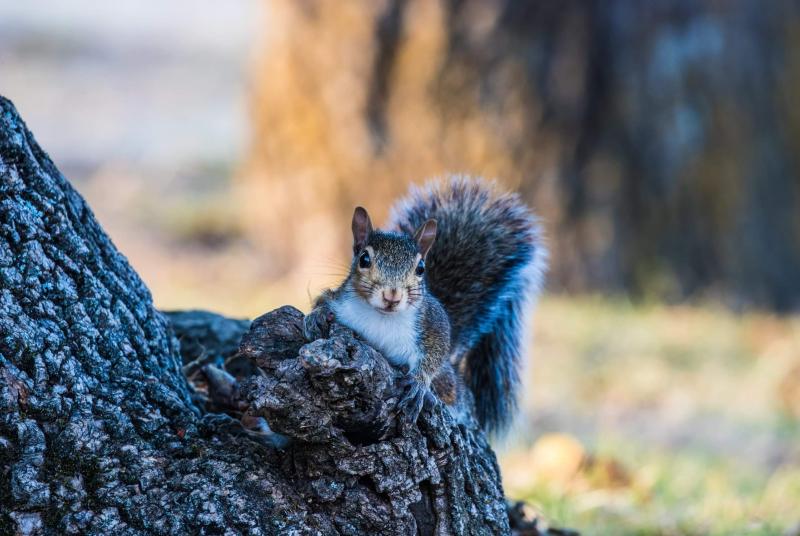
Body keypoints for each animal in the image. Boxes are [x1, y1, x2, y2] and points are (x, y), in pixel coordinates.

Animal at [303, 176, 546, 435]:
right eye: (364, 259)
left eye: (420, 268)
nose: (392, 295)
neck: (382, 317)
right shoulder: (342, 300)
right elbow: (323, 300)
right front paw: (318, 315)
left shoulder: (432, 322)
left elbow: (437, 350)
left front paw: (419, 383)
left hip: (451, 385)